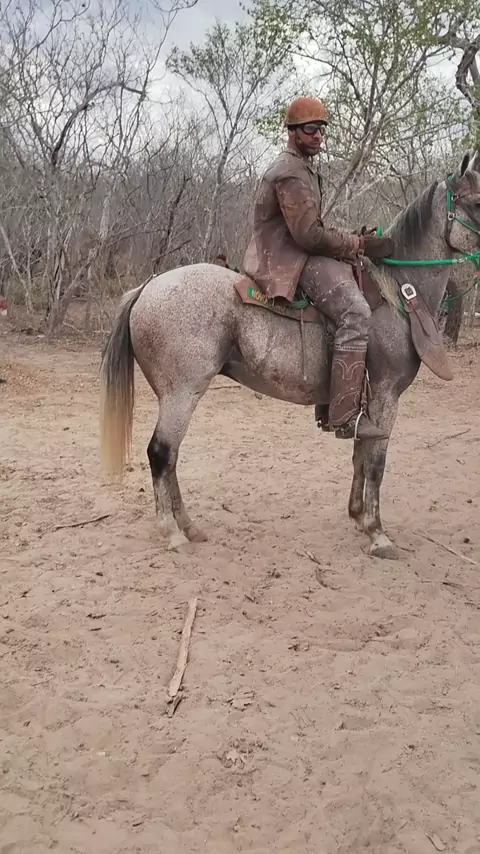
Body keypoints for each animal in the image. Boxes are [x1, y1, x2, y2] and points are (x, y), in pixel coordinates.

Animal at [100, 151, 480, 557]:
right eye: (476, 203)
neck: (397, 294)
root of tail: (147, 287)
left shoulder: (367, 402)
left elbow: (359, 455)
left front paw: (358, 517)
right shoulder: (385, 393)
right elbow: (375, 462)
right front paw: (377, 533)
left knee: (170, 458)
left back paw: (189, 526)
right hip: (182, 393)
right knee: (161, 453)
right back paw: (171, 531)